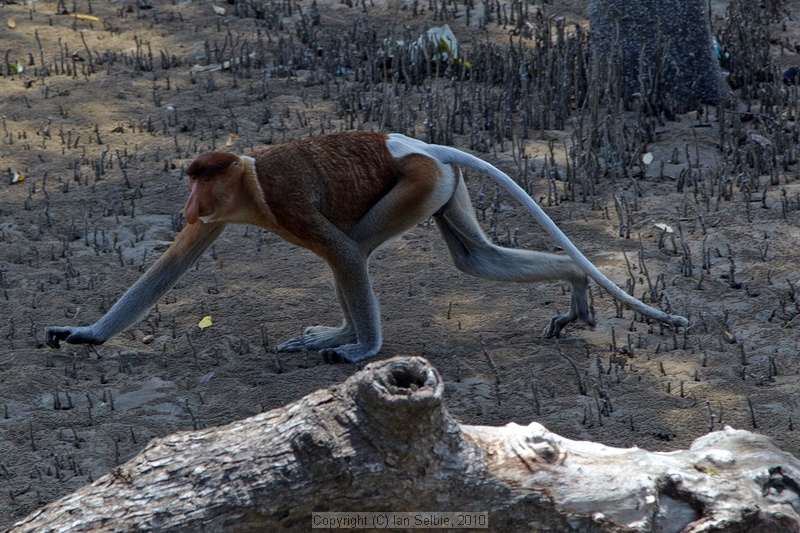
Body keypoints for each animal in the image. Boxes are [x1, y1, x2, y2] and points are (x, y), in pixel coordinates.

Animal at [46, 132, 688, 363]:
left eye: (202, 179)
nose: (187, 204)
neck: (248, 181)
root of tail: (422, 147)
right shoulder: (214, 219)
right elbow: (173, 263)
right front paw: (84, 333)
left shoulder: (285, 199)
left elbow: (346, 254)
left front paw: (364, 352)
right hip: (442, 187)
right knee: (474, 258)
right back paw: (575, 288)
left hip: (415, 185)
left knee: (349, 249)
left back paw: (348, 342)